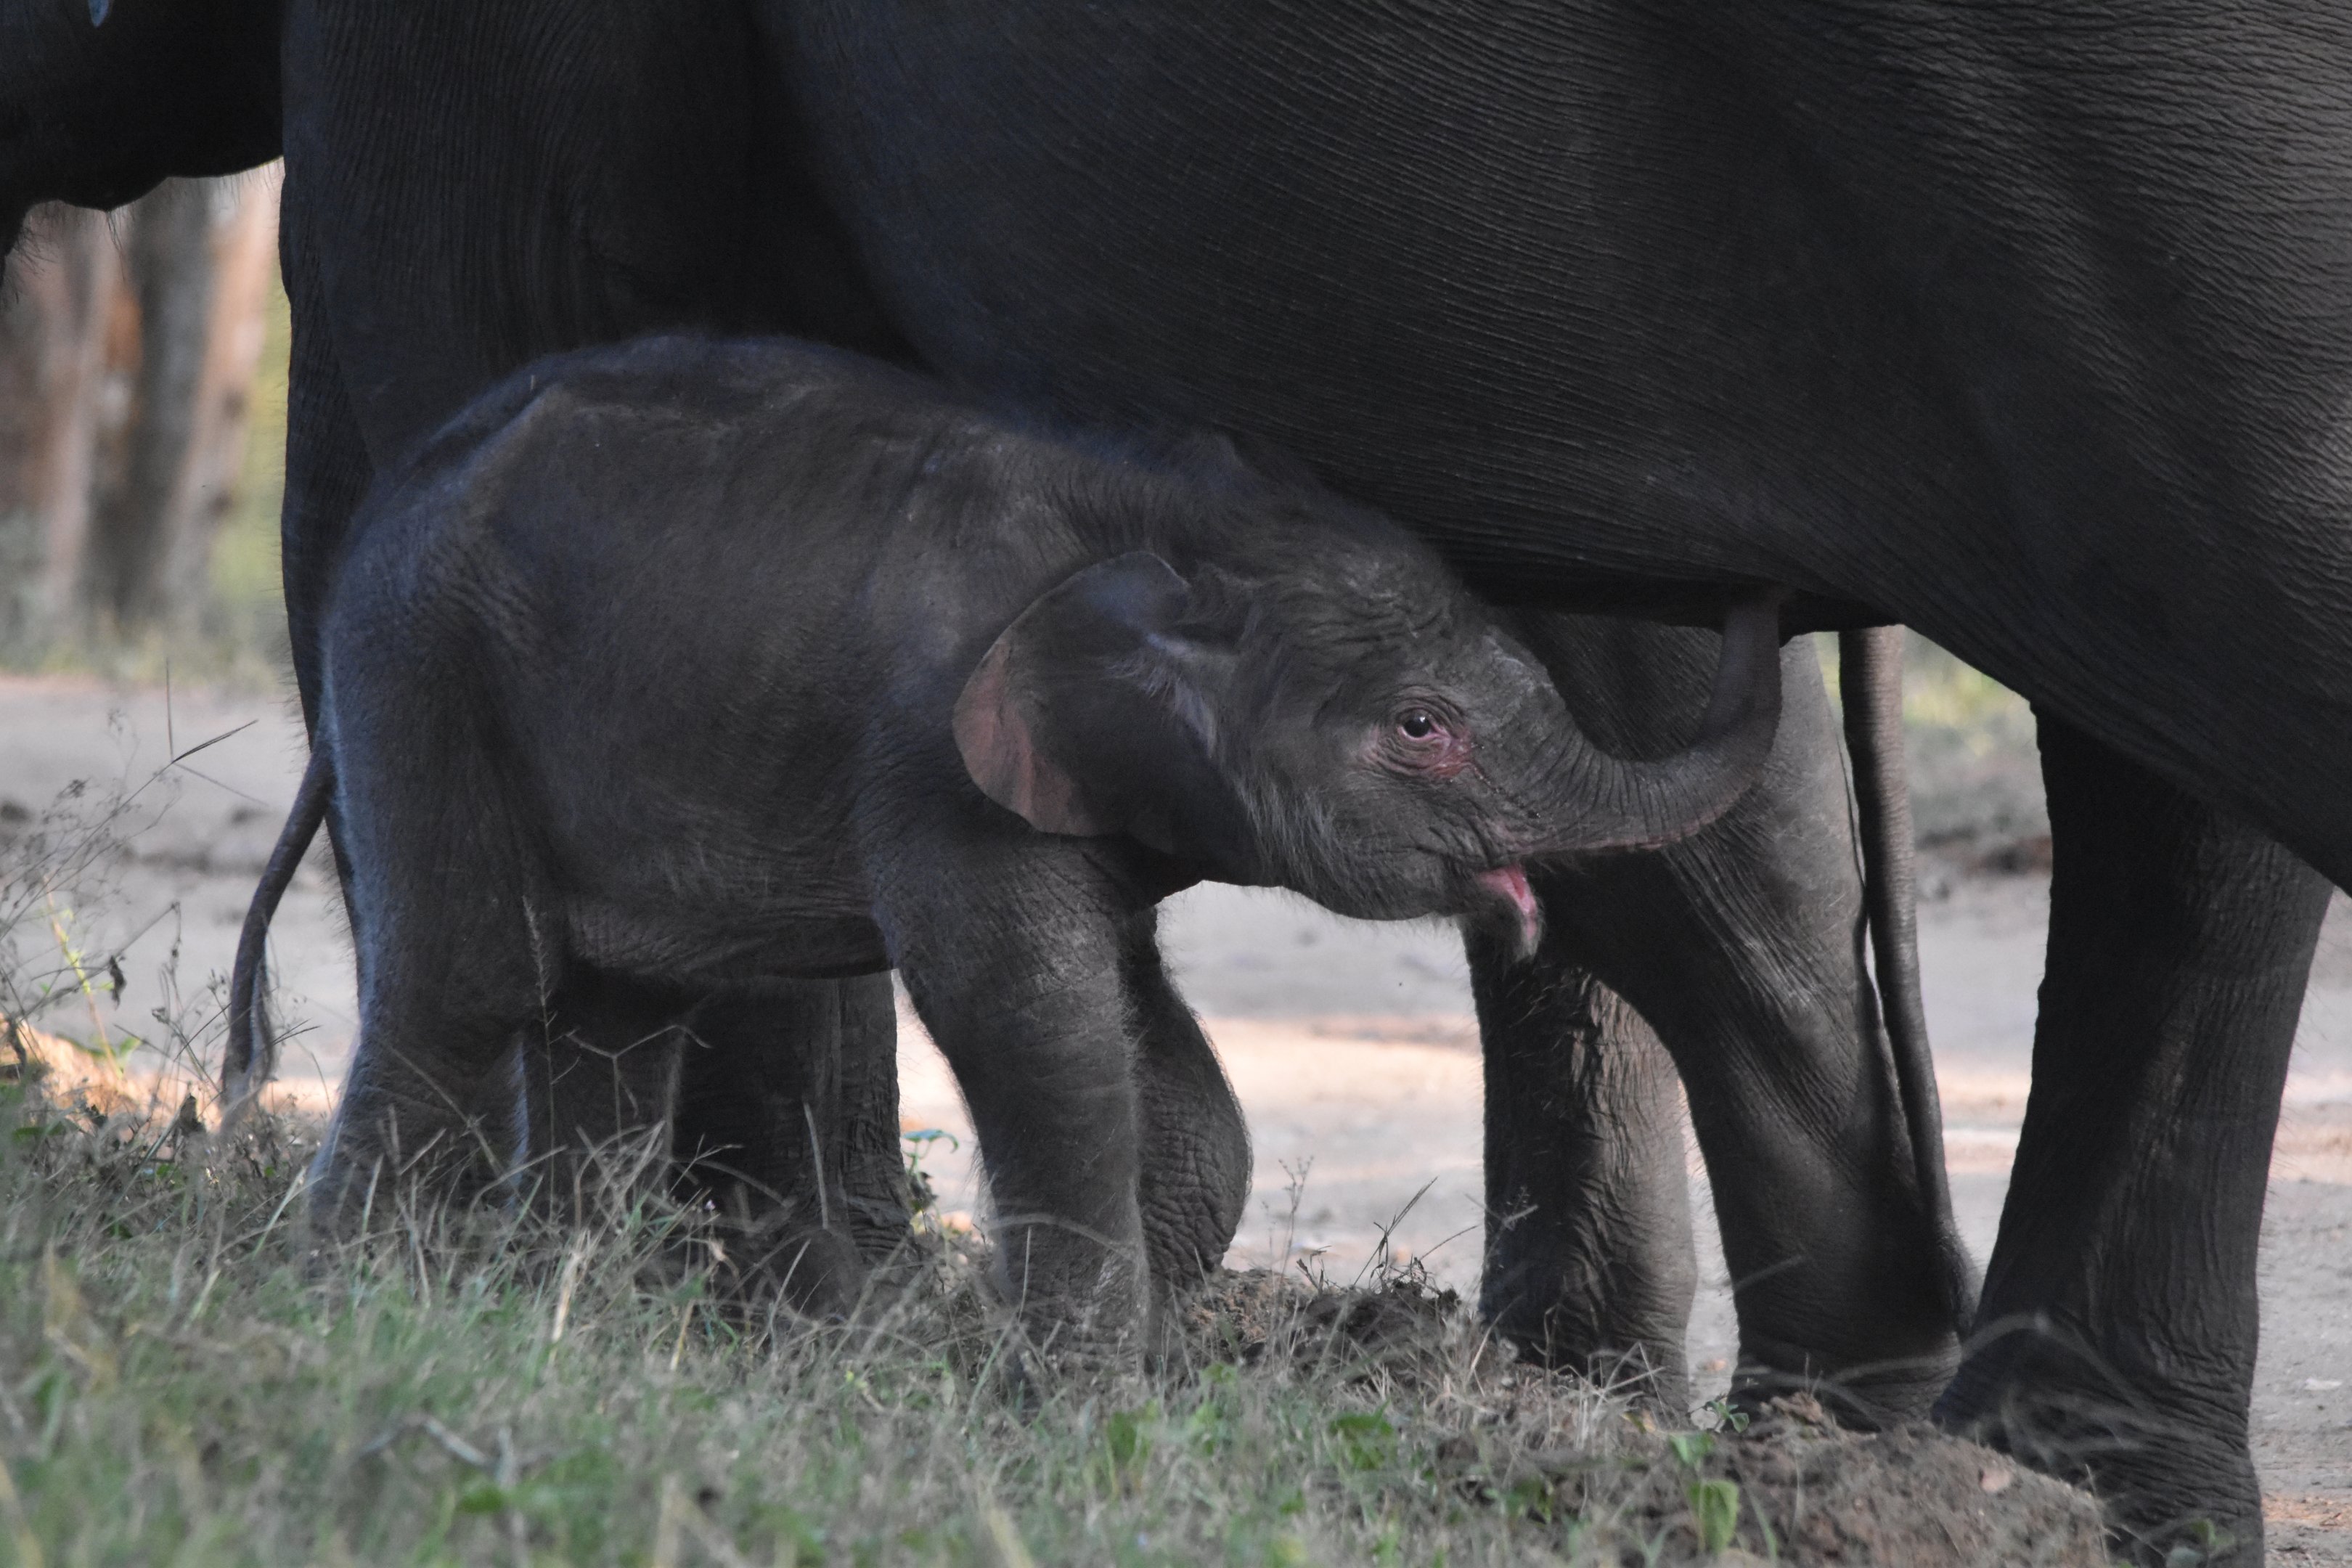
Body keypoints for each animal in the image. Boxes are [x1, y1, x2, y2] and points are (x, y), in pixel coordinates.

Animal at [221, 331, 1789, 1355]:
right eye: (1422, 727)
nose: (1756, 587)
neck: (1187, 526)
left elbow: (1143, 1031)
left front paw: (1097, 1348)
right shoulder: (936, 763)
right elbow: (1030, 1016)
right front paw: (1074, 1400)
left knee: (618, 1016)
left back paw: (568, 1312)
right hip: (420, 665)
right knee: (475, 977)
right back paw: (345, 1301)